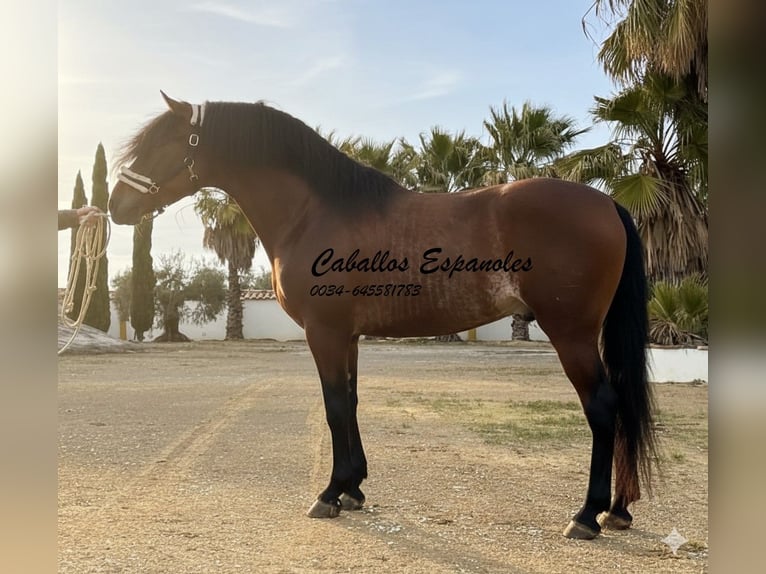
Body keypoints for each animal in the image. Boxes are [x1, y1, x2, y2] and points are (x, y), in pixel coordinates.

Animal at [109, 92, 657, 540]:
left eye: (162, 143)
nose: (116, 206)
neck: (315, 211)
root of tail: (607, 202)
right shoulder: (347, 336)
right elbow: (350, 403)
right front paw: (353, 489)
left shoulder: (325, 333)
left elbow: (333, 407)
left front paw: (329, 494)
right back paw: (618, 510)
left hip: (572, 334)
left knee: (602, 406)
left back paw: (586, 516)